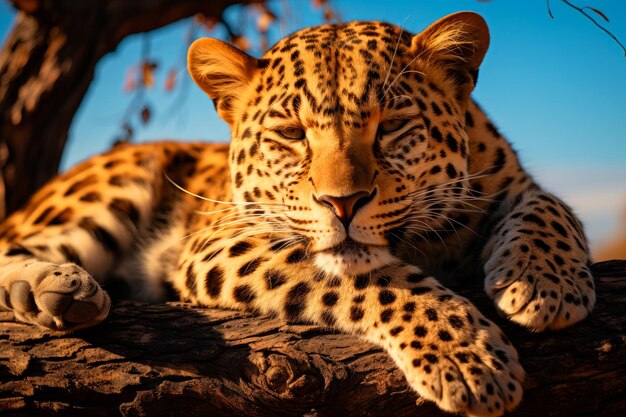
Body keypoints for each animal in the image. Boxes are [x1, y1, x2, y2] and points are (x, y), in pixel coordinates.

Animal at [0, 13, 592, 416]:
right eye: (290, 133)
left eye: (392, 127)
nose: (343, 202)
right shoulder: (221, 242)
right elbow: (384, 281)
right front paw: (469, 361)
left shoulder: (508, 181)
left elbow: (550, 204)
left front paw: (544, 284)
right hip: (110, 188)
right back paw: (61, 289)